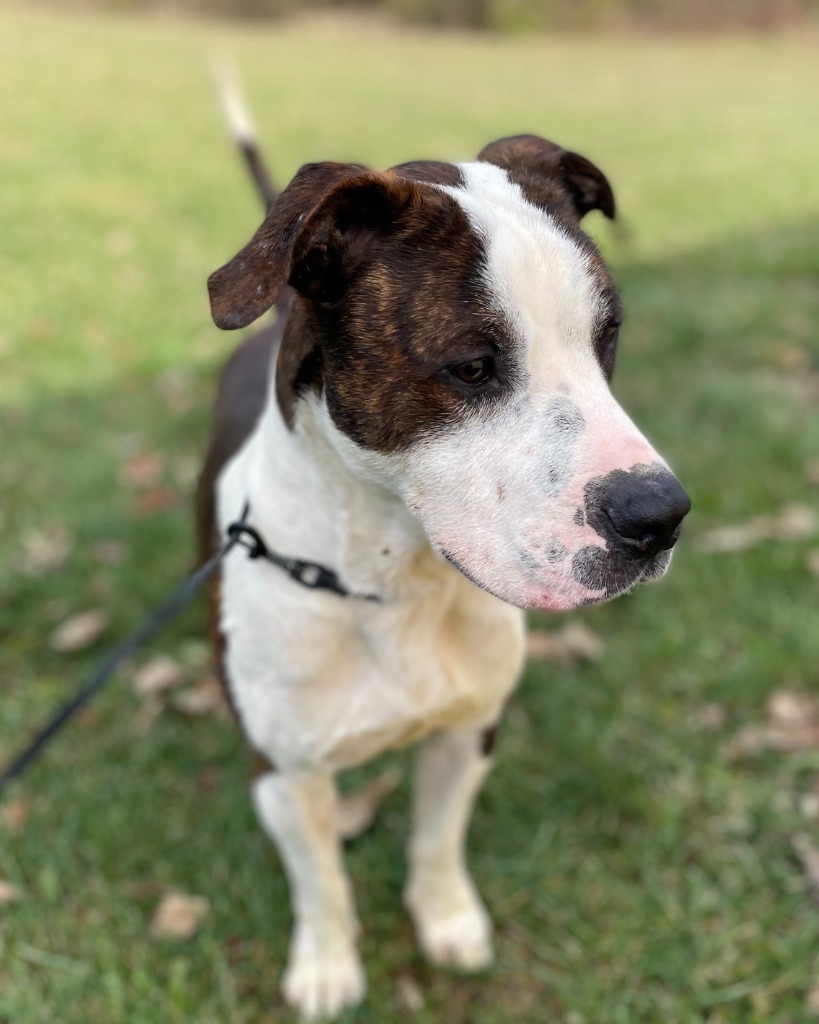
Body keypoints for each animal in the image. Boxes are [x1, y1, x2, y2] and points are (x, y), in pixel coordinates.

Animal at [198, 92, 692, 1019]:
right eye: (470, 366)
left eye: (607, 338)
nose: (659, 516)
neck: (394, 582)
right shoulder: (284, 771)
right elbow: (319, 879)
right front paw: (326, 964)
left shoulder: (469, 731)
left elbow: (435, 839)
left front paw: (446, 919)